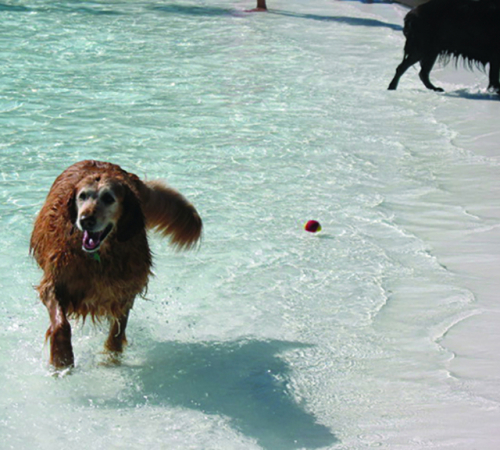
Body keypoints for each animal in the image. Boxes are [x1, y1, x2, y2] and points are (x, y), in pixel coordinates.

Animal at [28, 161, 201, 370]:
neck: (99, 256)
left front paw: (111, 358)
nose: (85, 220)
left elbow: (118, 331)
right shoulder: (53, 283)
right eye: (82, 196)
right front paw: (63, 358)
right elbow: (61, 323)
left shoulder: (124, 289)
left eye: (108, 198)